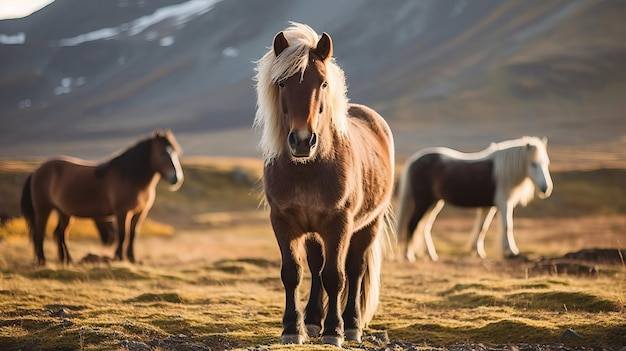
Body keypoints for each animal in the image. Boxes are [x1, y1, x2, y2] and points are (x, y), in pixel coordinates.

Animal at [20, 131, 182, 266]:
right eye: (162, 153)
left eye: (174, 152)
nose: (176, 178)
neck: (129, 177)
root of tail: (36, 171)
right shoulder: (122, 212)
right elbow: (122, 234)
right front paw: (119, 257)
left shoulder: (140, 212)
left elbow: (133, 234)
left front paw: (132, 259)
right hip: (43, 209)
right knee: (40, 233)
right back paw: (43, 261)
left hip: (64, 212)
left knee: (60, 234)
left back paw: (67, 260)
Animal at [251, 22, 392, 350]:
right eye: (282, 83)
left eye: (324, 84)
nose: (303, 141)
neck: (308, 170)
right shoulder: (283, 221)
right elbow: (292, 273)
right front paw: (293, 328)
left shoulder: (338, 224)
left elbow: (335, 276)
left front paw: (334, 331)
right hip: (314, 232)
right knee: (316, 267)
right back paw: (313, 320)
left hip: (369, 224)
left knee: (354, 270)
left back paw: (351, 325)